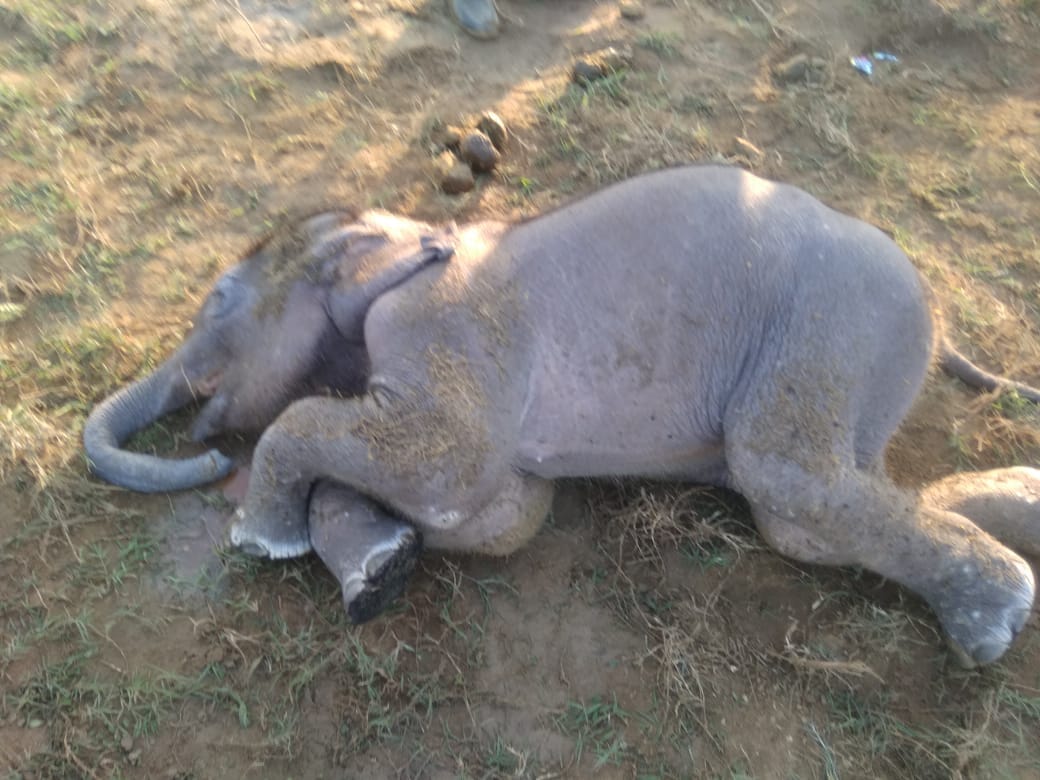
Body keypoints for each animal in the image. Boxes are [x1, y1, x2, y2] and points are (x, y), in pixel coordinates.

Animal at [84, 165, 1040, 667]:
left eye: (216, 300)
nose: (211, 455)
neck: (407, 234)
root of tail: (934, 305)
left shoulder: (449, 326)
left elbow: (446, 465)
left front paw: (259, 539)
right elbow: (500, 512)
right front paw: (382, 568)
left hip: (831, 317)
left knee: (790, 483)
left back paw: (996, 622)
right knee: (815, 508)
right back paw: (1021, 512)